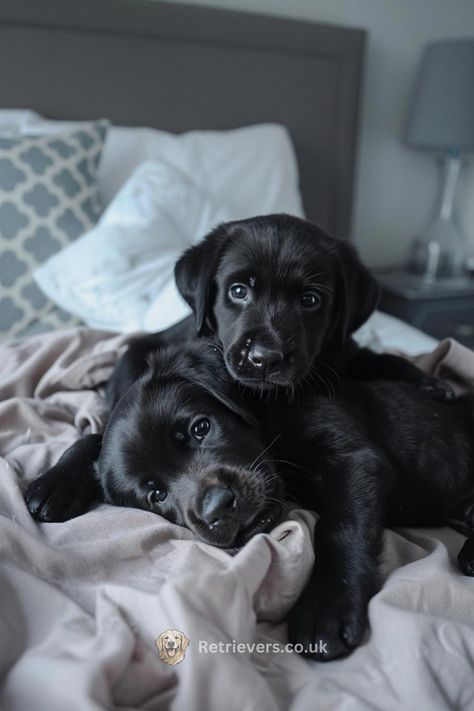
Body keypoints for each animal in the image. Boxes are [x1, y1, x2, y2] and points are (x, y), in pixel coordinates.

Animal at [25, 340, 474, 660]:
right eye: (156, 494)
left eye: (201, 427)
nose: (217, 510)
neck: (272, 422)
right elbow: (91, 436)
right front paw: (53, 482)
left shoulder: (354, 459)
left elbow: (340, 527)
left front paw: (326, 604)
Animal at [107, 214, 452, 406]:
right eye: (238, 291)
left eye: (310, 300)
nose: (265, 359)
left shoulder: (348, 353)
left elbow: (386, 358)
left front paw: (429, 383)